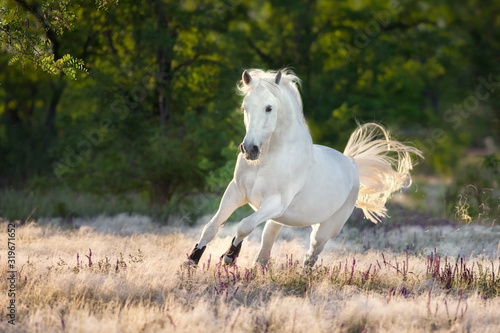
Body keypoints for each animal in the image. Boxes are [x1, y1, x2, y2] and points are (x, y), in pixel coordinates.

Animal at [188, 68, 422, 266]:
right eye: (245, 107)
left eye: (269, 108)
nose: (249, 149)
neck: (267, 159)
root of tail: (352, 165)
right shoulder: (236, 192)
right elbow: (211, 227)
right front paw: (192, 260)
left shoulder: (275, 202)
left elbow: (244, 225)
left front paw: (229, 257)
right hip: (277, 221)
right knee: (265, 251)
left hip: (323, 230)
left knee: (311, 256)